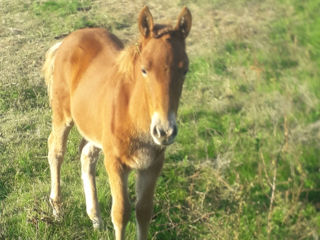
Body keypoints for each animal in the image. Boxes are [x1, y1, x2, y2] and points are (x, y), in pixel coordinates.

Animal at [43, 6, 191, 240]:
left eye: (185, 69)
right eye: (144, 69)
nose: (164, 131)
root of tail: (67, 40)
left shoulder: (152, 165)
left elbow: (144, 211)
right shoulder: (115, 163)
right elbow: (121, 213)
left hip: (95, 128)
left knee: (86, 154)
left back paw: (95, 219)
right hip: (62, 115)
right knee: (56, 151)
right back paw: (57, 210)